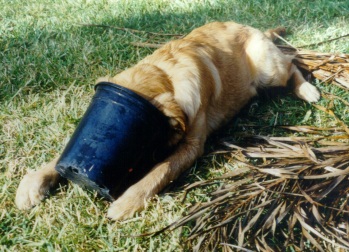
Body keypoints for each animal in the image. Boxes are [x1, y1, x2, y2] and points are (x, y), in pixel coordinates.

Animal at [14, 21, 320, 220]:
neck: (163, 73)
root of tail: (255, 29)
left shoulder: (192, 146)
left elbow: (159, 171)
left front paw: (127, 202)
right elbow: (59, 155)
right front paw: (34, 181)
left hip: (268, 68)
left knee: (293, 63)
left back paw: (307, 89)